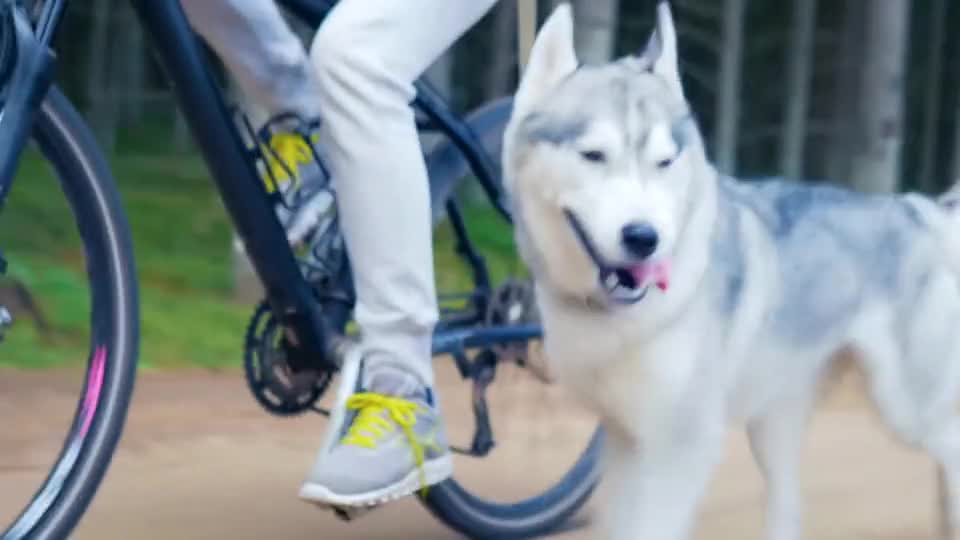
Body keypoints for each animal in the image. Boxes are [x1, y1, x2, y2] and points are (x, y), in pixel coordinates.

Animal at [498, 2, 960, 536]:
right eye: (593, 155)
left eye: (664, 162)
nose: (644, 238)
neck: (620, 320)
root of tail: (919, 208)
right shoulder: (626, 441)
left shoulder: (682, 446)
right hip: (775, 425)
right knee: (789, 505)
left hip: (904, 409)